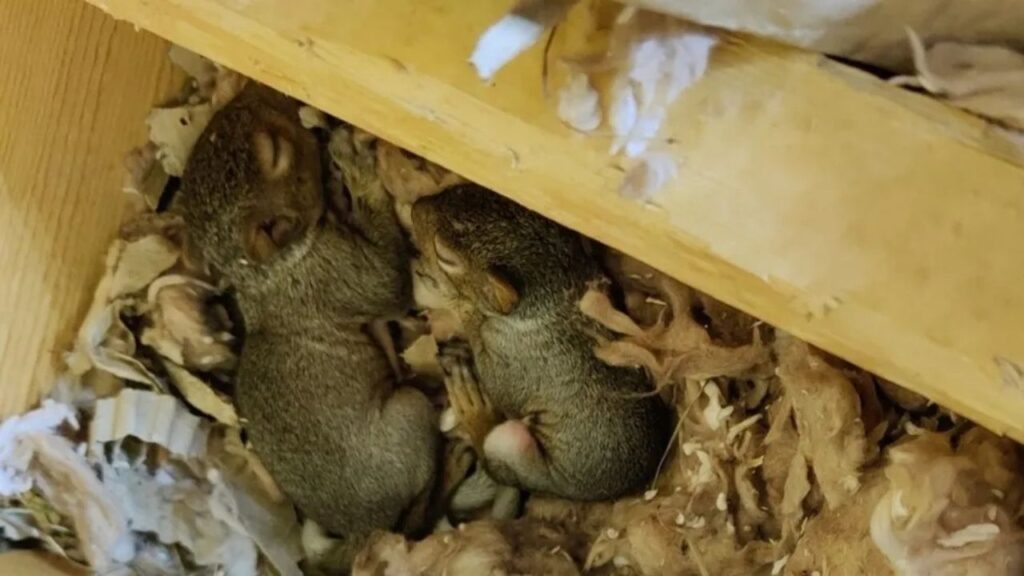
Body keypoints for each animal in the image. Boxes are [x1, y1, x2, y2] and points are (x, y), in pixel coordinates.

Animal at [178, 84, 438, 568]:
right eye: (278, 152)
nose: (261, 86)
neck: (269, 271)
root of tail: (363, 528)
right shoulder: (333, 273)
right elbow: (388, 279)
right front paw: (358, 167)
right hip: (409, 416)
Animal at [409, 185, 673, 501]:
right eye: (467, 189)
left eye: (445, 255)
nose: (415, 206)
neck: (555, 297)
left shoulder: (514, 359)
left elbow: (501, 387)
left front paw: (463, 306)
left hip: (513, 447)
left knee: (494, 459)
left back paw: (473, 406)